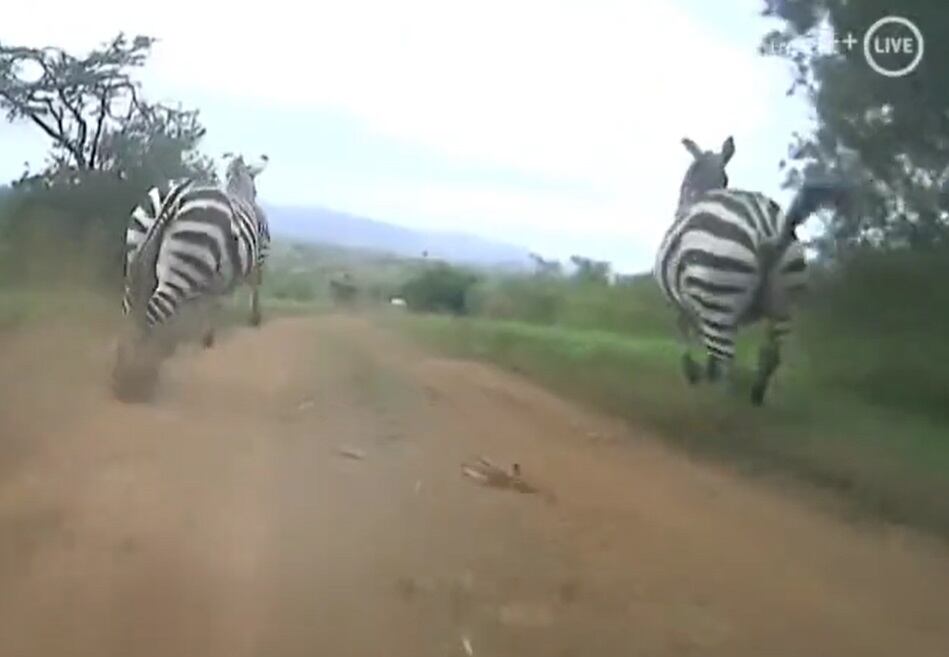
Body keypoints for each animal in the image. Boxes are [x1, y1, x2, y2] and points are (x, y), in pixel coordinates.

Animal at [114, 154, 274, 400]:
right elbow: (248, 291)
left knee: (131, 306)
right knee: (153, 311)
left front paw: (185, 341)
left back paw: (124, 364)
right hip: (185, 258)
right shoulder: (258, 260)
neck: (239, 189)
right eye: (256, 190)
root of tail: (176, 193)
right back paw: (138, 377)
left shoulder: (210, 276)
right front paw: (252, 319)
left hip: (138, 251)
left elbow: (204, 304)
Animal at [656, 136, 848, 404]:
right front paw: (704, 373)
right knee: (769, 356)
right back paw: (754, 401)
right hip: (782, 308)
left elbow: (683, 332)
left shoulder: (682, 304)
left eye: (687, 177)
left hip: (719, 302)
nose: (678, 211)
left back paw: (718, 405)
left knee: (727, 364)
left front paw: (693, 374)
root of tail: (765, 227)